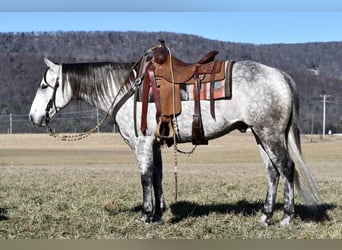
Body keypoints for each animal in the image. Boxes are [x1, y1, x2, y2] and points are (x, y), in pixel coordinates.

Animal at [28, 56, 320, 227]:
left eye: (44, 85)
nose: (33, 117)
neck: (127, 90)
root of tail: (280, 75)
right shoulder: (155, 143)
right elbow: (157, 176)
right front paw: (158, 214)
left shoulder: (142, 143)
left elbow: (145, 177)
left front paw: (145, 216)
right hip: (260, 135)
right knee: (273, 172)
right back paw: (265, 215)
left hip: (269, 133)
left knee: (287, 168)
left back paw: (286, 217)